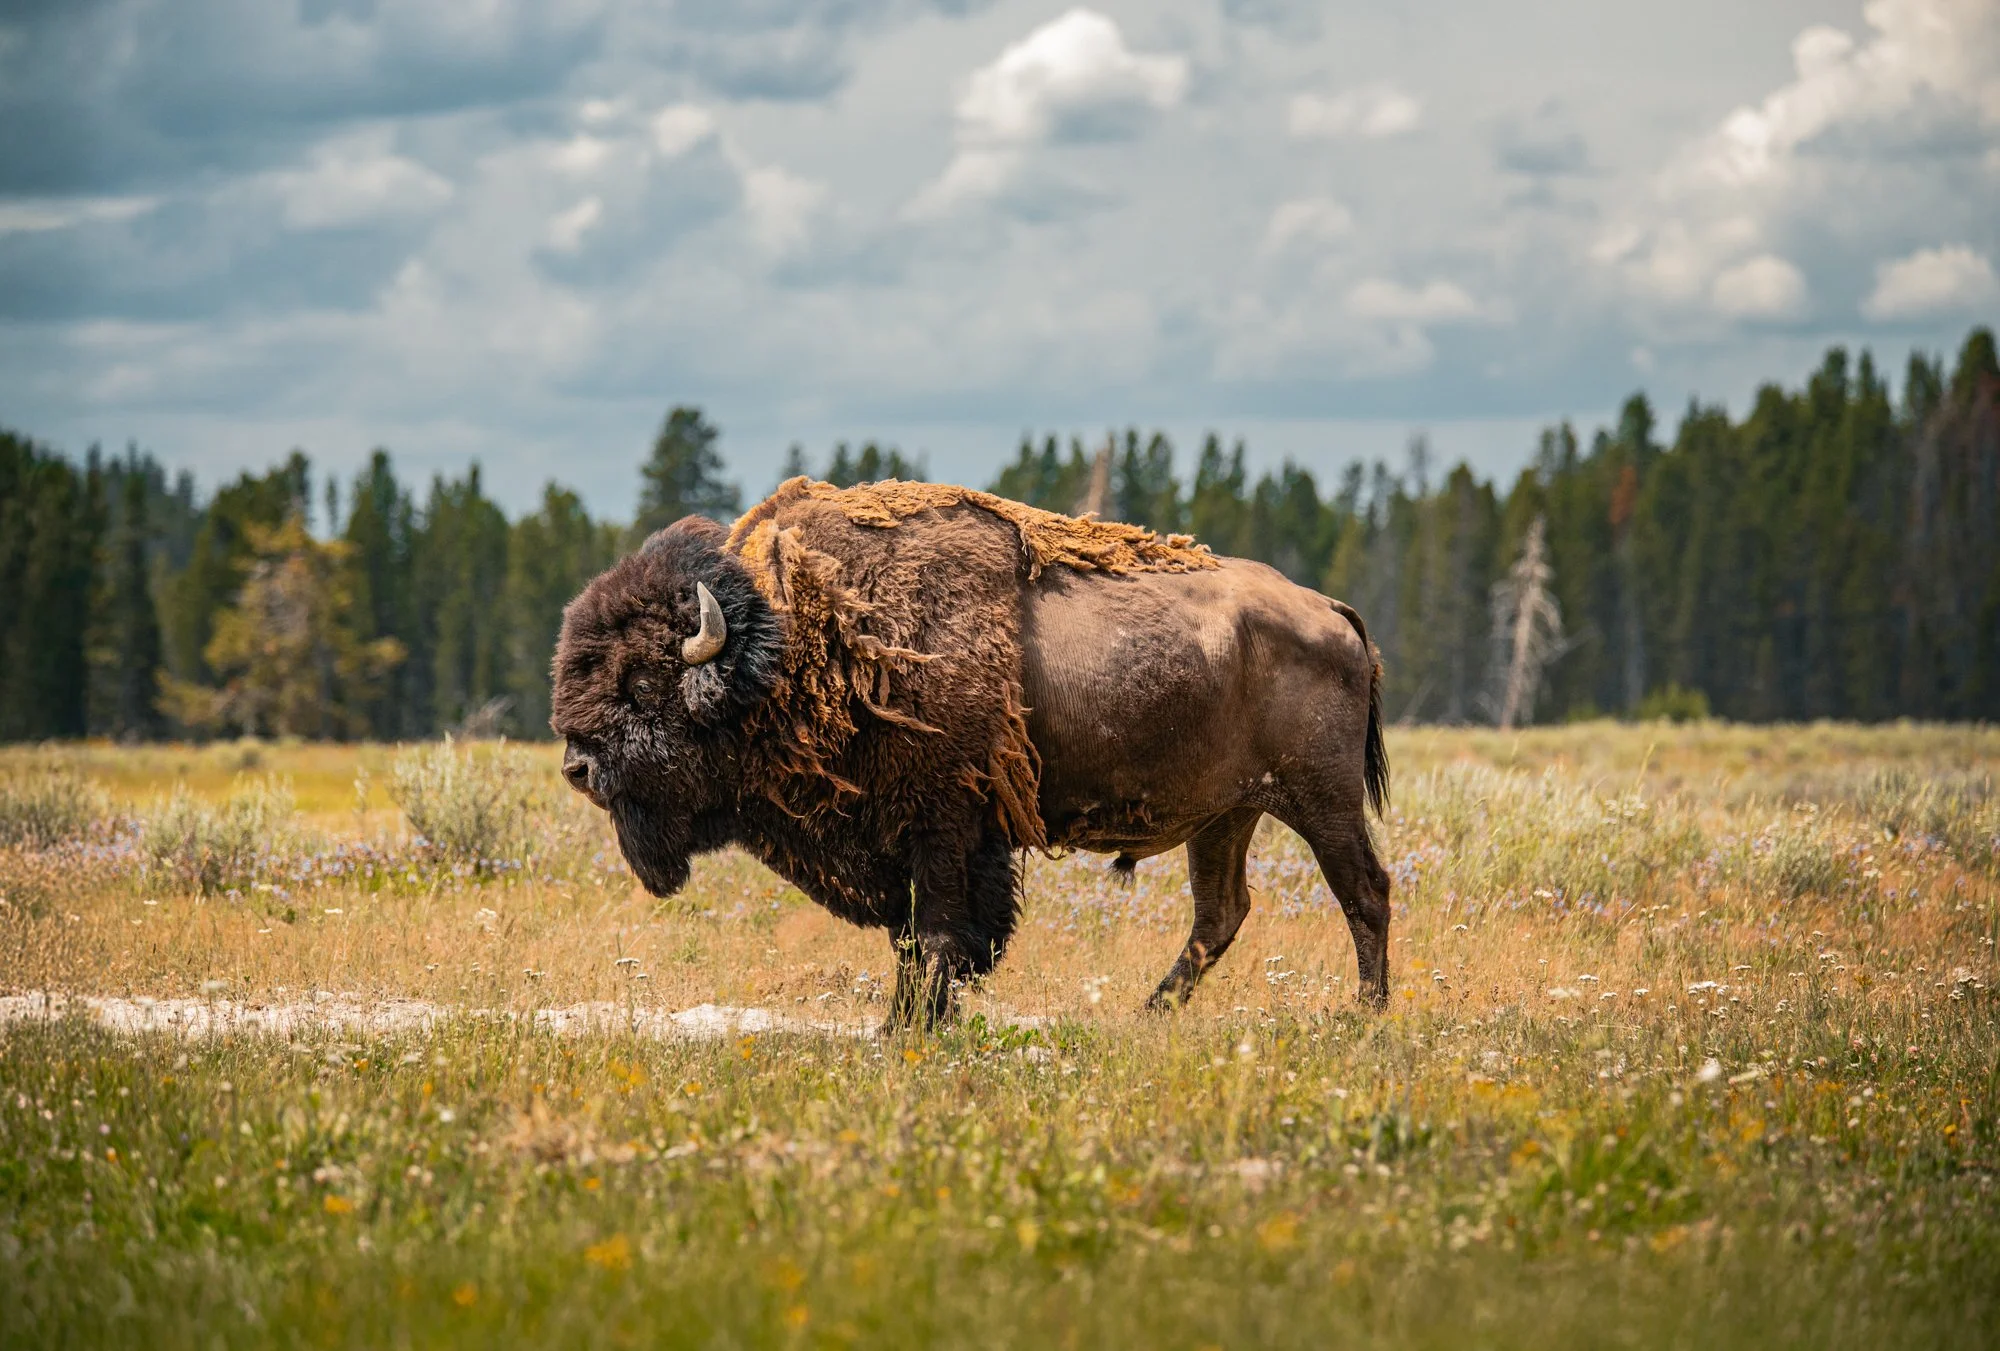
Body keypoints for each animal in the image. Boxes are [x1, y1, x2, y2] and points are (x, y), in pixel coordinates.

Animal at [552, 477, 1389, 1027]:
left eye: (644, 677)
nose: (577, 766)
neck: (804, 641)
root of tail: (1331, 609)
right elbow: (915, 938)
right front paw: (905, 1021)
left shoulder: (945, 830)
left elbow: (941, 936)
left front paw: (911, 1026)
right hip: (1226, 815)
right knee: (1222, 912)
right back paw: (1148, 1013)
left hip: (1320, 799)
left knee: (1364, 891)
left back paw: (1367, 1017)